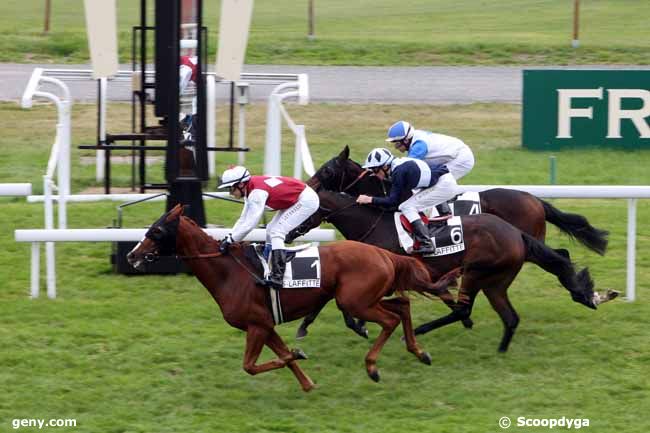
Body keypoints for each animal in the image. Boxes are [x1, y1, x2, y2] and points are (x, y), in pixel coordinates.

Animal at [126, 204, 458, 390]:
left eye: (156, 231)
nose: (132, 255)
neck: (229, 273)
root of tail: (383, 253)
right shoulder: (264, 325)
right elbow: (277, 358)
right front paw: (308, 382)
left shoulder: (256, 325)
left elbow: (253, 365)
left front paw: (298, 354)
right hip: (365, 299)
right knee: (402, 305)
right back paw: (419, 351)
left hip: (354, 301)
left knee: (390, 319)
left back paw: (373, 366)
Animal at [286, 190, 616, 352]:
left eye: (302, 208)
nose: (288, 232)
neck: (376, 224)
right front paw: (308, 326)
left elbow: (341, 304)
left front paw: (359, 325)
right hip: (496, 279)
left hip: (476, 272)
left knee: (465, 307)